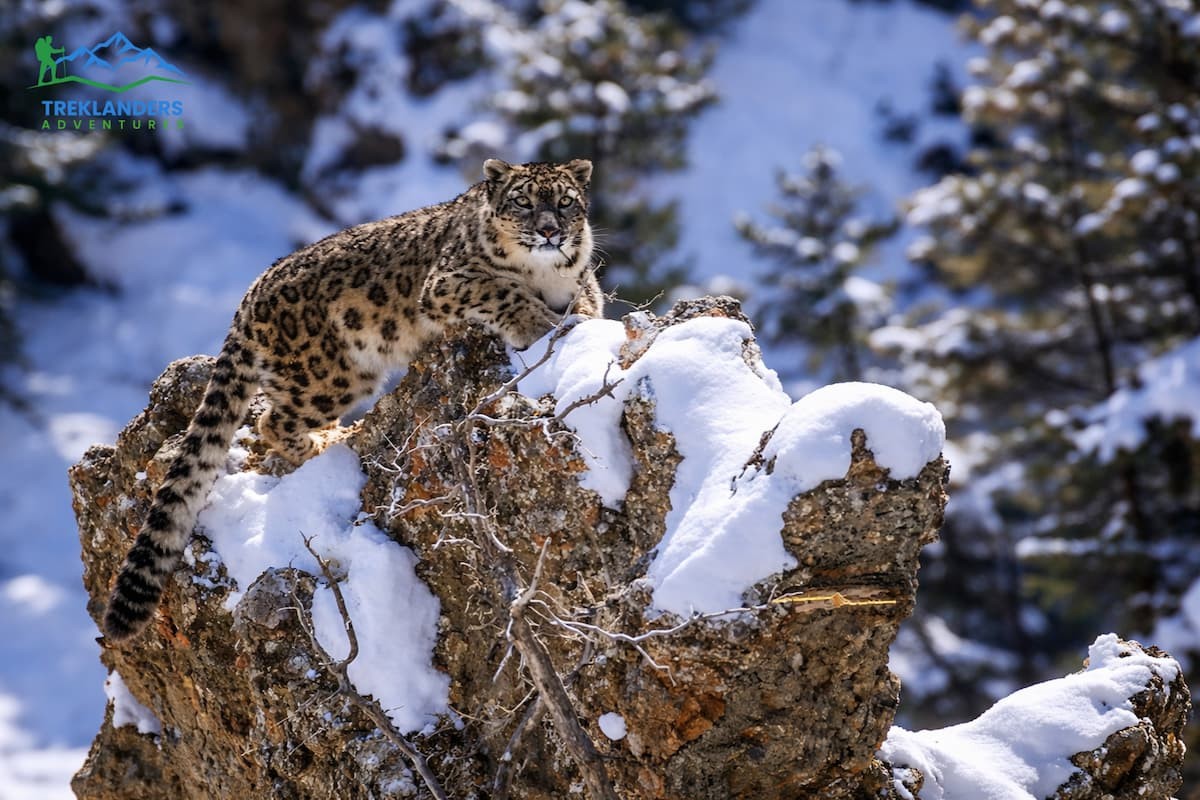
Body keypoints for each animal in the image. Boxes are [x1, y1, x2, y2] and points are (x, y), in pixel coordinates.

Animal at [103, 158, 602, 643]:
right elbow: (503, 291)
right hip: (333, 376)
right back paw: (332, 440)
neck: (545, 271)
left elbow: (588, 300)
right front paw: (541, 326)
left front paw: (580, 319)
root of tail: (251, 293)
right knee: (273, 423)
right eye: (522, 201)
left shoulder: (582, 278)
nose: (549, 231)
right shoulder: (449, 281)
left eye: (565, 202)